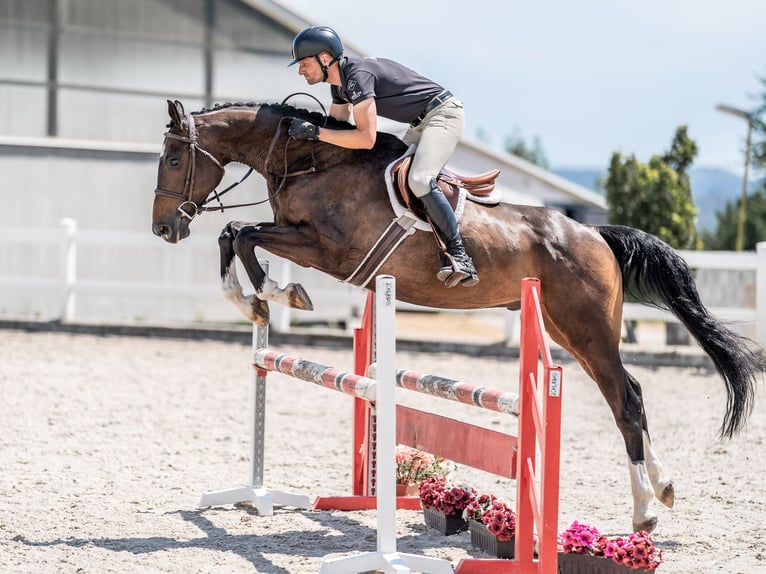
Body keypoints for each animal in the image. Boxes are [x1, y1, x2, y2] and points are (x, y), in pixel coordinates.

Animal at [152, 99, 760, 534]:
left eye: (175, 159)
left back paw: (645, 511)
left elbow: (243, 234)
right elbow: (234, 235)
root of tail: (594, 233)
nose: (164, 228)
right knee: (629, 394)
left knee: (626, 401)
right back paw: (662, 490)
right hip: (567, 328)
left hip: (586, 329)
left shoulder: (328, 249)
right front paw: (256, 300)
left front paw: (278, 293)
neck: (308, 159)